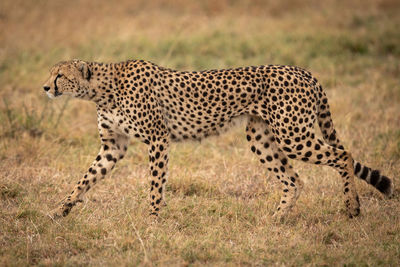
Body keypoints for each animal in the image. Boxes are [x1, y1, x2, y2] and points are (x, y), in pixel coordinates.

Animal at [43, 59, 394, 221]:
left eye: (60, 75)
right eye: (51, 73)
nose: (45, 87)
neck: (101, 89)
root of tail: (302, 70)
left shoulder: (157, 138)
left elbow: (155, 183)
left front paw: (153, 219)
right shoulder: (112, 147)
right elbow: (85, 179)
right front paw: (61, 209)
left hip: (292, 134)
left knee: (343, 155)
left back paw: (352, 207)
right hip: (260, 136)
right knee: (295, 180)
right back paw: (277, 219)